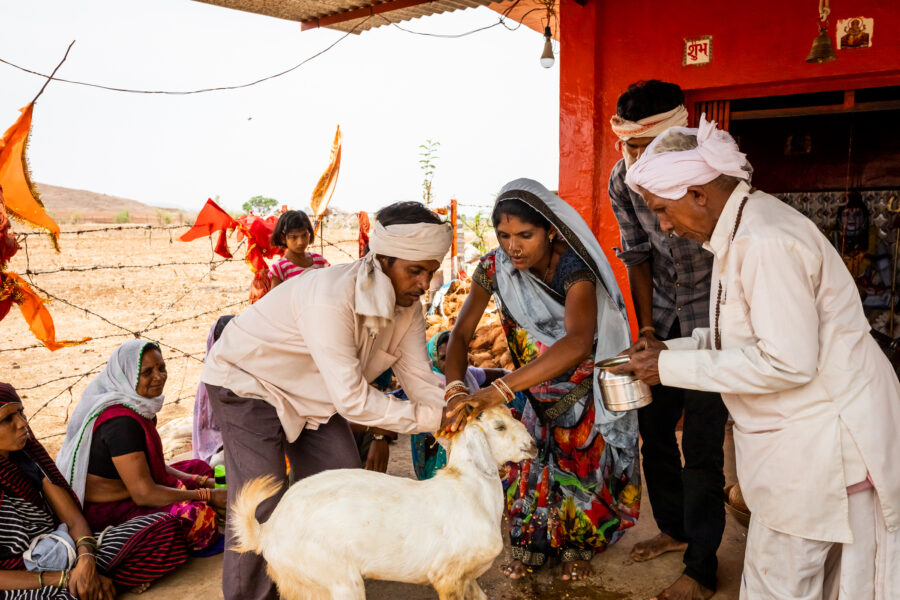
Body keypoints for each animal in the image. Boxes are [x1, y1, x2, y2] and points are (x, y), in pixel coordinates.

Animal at [232, 406, 536, 596]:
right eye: (499, 426)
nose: (533, 445)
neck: (471, 489)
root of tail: (267, 530)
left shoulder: (469, 578)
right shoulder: (447, 577)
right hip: (336, 579)